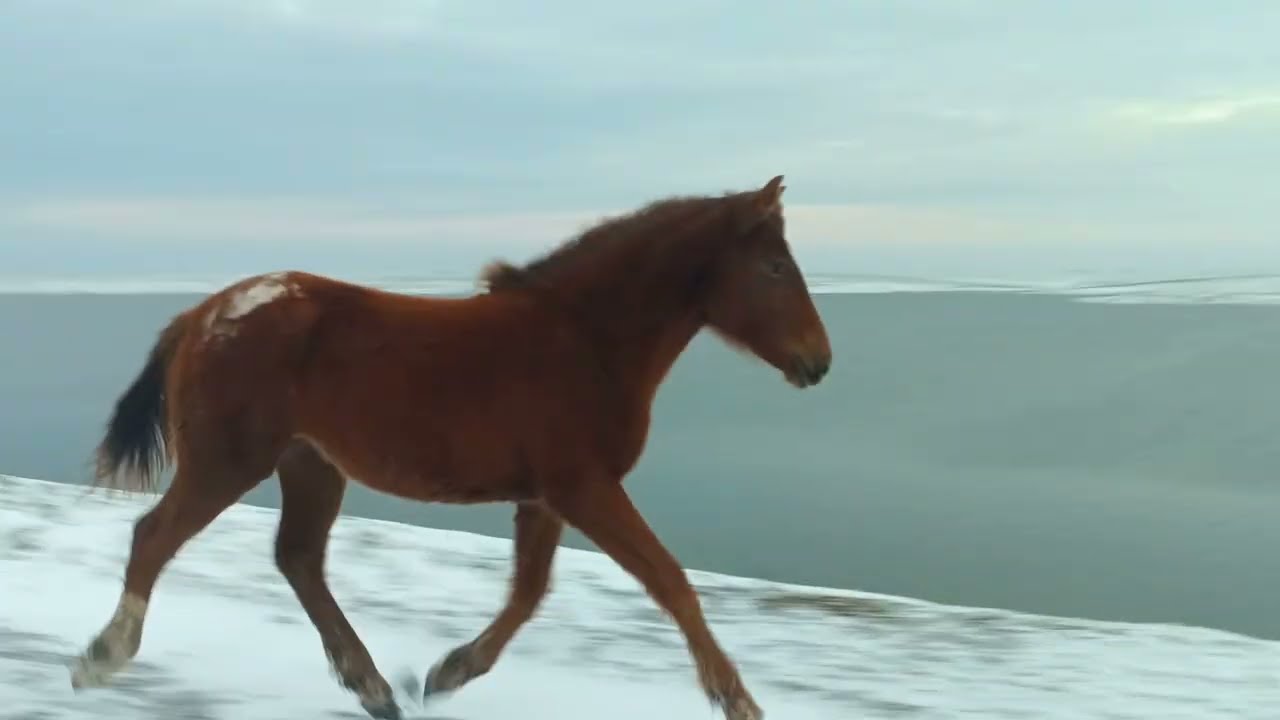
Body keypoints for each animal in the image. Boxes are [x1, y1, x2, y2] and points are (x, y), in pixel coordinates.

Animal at [68, 175, 832, 720]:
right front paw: (739, 701)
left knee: (298, 558)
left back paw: (375, 689)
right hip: (230, 461)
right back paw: (102, 657)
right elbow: (671, 582)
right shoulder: (584, 487)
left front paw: (447, 672)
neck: (585, 341)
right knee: (156, 536)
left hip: (310, 464)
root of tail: (200, 313)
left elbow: (529, 591)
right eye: (773, 266)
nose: (819, 362)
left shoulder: (547, 497)